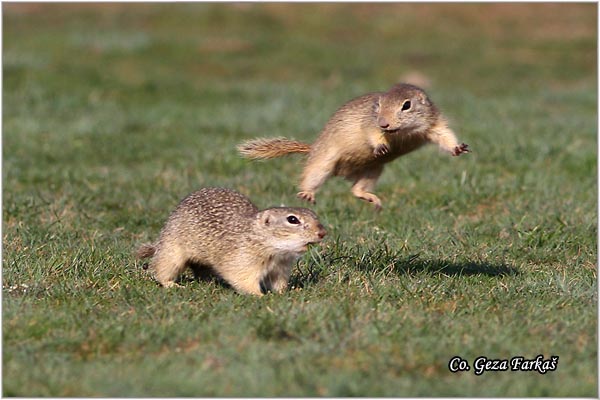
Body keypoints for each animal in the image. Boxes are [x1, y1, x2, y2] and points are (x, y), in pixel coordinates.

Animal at [135, 187, 326, 294]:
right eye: (292, 220)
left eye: (314, 214)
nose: (322, 232)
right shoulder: (242, 259)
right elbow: (242, 278)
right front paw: (259, 295)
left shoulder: (280, 268)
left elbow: (278, 282)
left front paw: (288, 291)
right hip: (172, 250)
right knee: (160, 268)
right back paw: (173, 285)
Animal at [238, 83, 468, 211]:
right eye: (378, 105)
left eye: (406, 105)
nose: (384, 123)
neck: (403, 132)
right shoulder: (370, 122)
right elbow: (370, 132)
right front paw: (380, 145)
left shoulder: (434, 124)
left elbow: (445, 136)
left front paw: (459, 148)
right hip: (323, 162)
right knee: (311, 177)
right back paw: (307, 193)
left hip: (373, 170)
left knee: (356, 190)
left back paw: (372, 199)